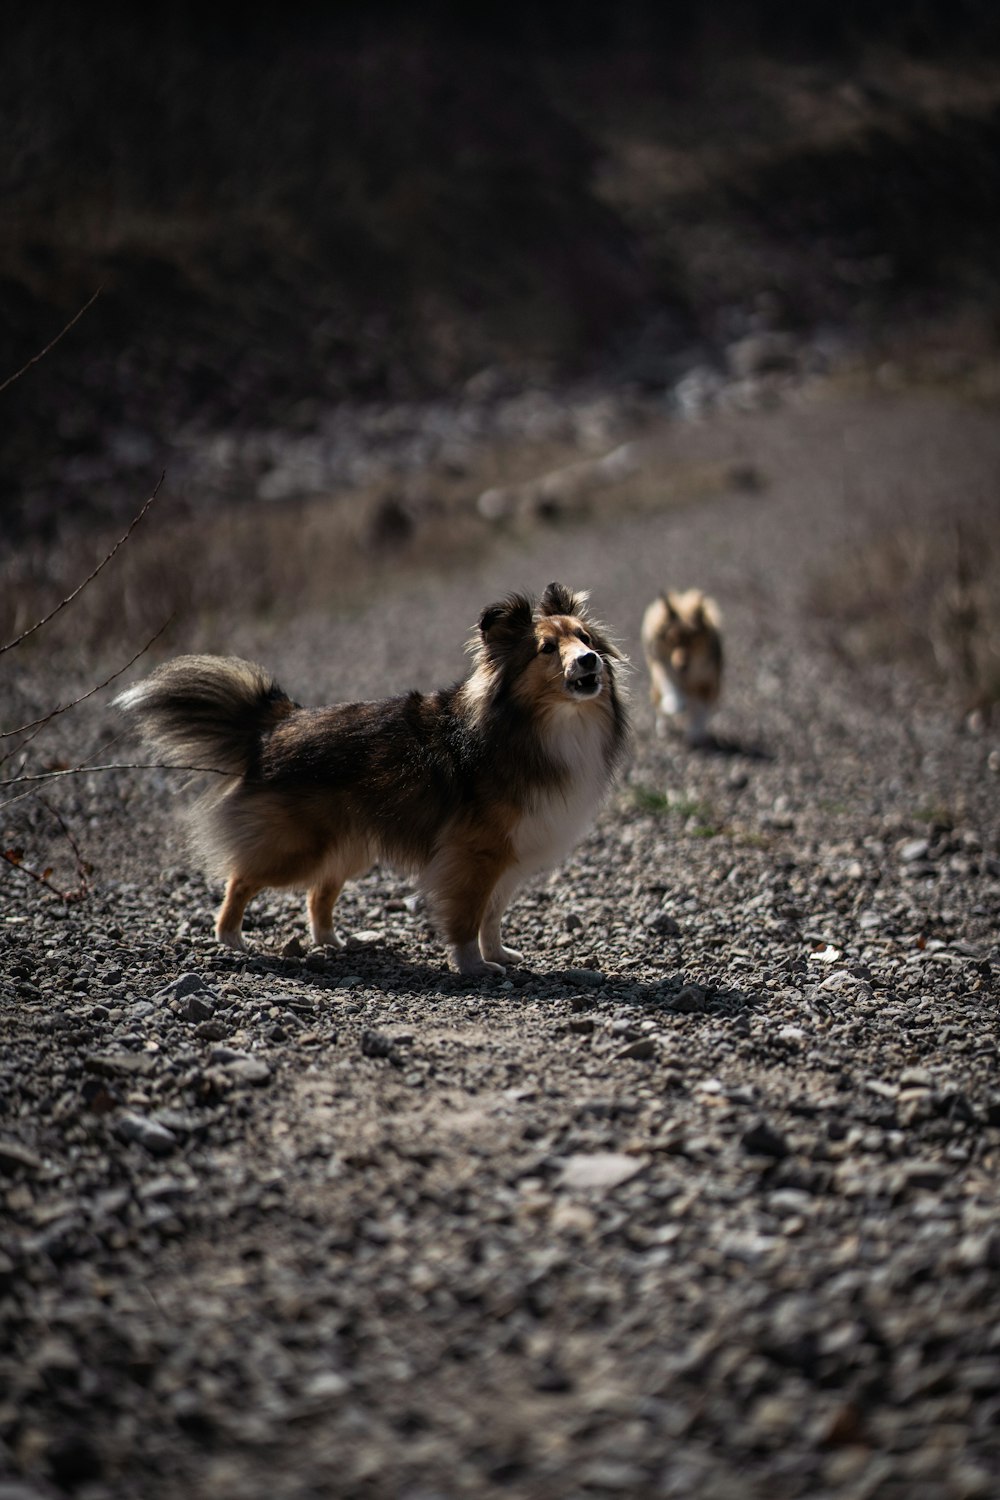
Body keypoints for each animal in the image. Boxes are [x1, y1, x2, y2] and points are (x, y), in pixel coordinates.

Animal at [117, 579, 629, 978]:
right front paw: (473, 966)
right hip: (296, 848)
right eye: (547, 649)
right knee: (241, 878)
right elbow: (468, 915)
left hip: (348, 847)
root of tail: (277, 724)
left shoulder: (508, 855)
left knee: (318, 894)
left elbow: (492, 915)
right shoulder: (473, 855)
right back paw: (232, 940)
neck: (536, 726)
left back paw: (332, 942)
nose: (590, 660)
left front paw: (499, 954)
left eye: (584, 637)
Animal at [644, 588, 722, 747]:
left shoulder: (706, 681)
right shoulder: (663, 668)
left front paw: (695, 735)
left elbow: (700, 711)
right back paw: (664, 729)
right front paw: (674, 706)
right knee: (660, 705)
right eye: (671, 640)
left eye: (692, 640)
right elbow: (672, 689)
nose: (681, 665)